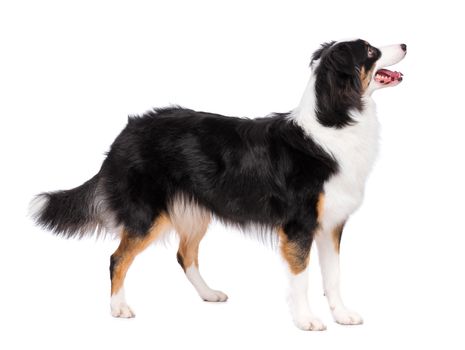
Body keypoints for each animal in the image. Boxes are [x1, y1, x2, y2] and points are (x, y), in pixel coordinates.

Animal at [29, 39, 406, 330]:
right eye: (370, 50)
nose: (404, 44)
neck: (336, 120)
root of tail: (126, 131)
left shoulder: (331, 225)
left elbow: (334, 276)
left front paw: (342, 315)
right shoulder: (298, 226)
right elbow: (301, 278)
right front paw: (306, 320)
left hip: (195, 210)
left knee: (184, 255)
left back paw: (209, 294)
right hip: (147, 214)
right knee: (117, 257)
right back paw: (119, 307)